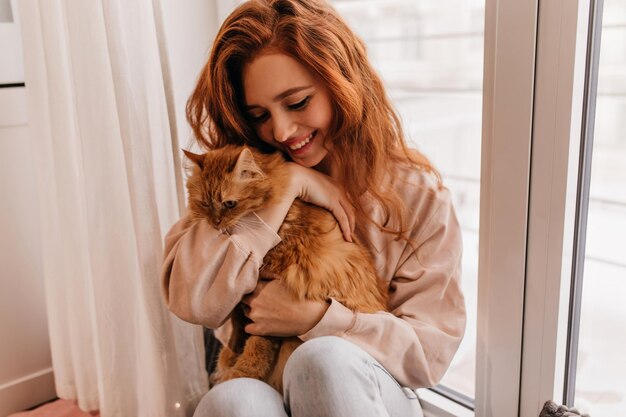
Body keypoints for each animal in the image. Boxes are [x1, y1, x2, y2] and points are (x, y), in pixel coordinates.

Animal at [182, 145, 386, 390]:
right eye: (204, 204)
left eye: (229, 204)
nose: (215, 223)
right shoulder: (245, 295)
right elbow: (236, 323)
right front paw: (229, 358)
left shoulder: (267, 294)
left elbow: (256, 344)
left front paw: (238, 372)